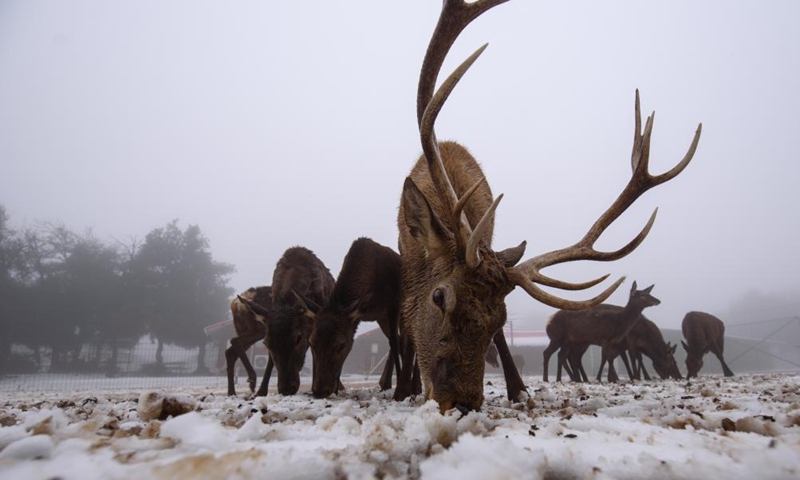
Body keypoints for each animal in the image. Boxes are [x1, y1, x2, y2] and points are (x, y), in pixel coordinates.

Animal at [294, 236, 404, 398]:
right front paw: (336, 389)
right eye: (312, 343)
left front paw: (401, 390)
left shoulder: (394, 306)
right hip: (382, 319)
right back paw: (385, 383)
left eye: (341, 344)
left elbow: (395, 344)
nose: (320, 391)